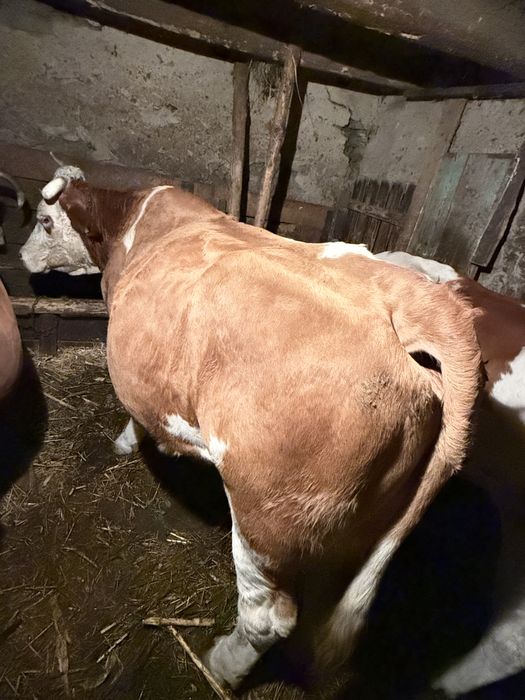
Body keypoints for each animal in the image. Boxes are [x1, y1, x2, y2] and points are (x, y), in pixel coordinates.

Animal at [21, 168, 482, 689]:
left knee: (269, 616)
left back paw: (221, 667)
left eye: (44, 222)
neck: (132, 221)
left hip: (266, 514)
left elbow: (138, 415)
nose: (21, 255)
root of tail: (420, 306)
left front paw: (126, 443)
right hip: (366, 524)